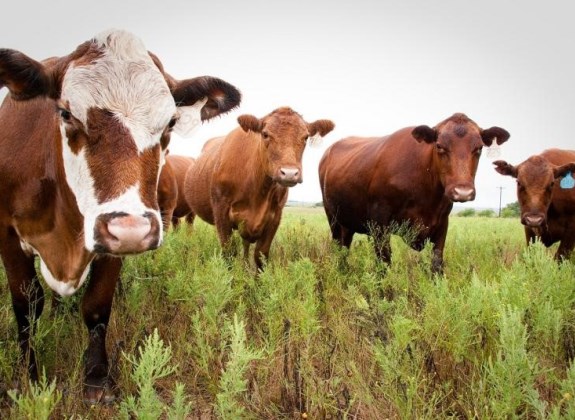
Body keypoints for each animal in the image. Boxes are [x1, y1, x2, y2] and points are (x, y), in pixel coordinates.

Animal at [0, 29, 241, 404]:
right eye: (66, 113)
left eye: (170, 122)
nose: (132, 230)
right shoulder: (9, 236)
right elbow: (26, 307)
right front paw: (28, 378)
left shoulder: (113, 243)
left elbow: (97, 306)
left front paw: (97, 381)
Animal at [184, 106, 336, 270]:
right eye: (265, 134)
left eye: (306, 137)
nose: (289, 173)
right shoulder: (221, 211)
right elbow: (229, 253)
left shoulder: (275, 217)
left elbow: (260, 255)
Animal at [320, 113, 512, 274]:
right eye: (439, 146)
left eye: (479, 148)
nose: (463, 192)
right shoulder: (379, 223)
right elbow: (384, 263)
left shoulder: (442, 223)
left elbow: (437, 263)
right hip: (333, 218)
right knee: (338, 247)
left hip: (347, 222)